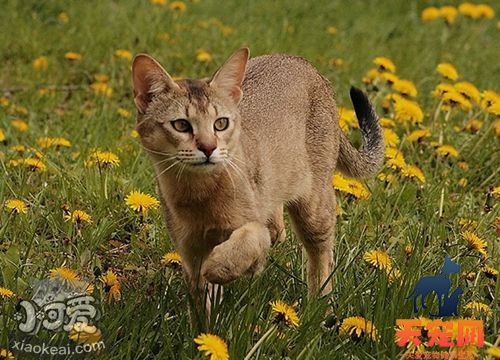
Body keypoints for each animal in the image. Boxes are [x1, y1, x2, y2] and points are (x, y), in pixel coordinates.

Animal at [131, 47, 384, 316]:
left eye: (221, 123)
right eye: (181, 125)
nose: (209, 148)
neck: (201, 195)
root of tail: (304, 63)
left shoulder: (250, 232)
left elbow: (248, 242)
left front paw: (218, 266)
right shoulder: (189, 250)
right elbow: (203, 307)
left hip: (315, 208)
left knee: (321, 255)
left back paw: (319, 308)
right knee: (279, 230)